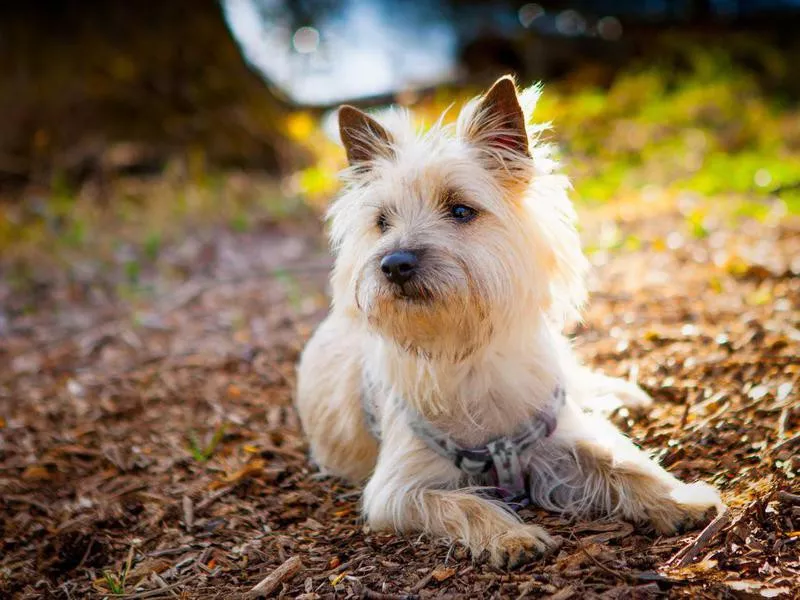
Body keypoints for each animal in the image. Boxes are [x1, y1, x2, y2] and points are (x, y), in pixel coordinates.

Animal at [296, 75, 724, 568]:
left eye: (461, 210)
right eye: (381, 222)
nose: (394, 263)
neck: (467, 351)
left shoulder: (554, 439)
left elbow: (619, 463)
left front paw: (681, 500)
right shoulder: (397, 489)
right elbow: (463, 504)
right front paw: (511, 537)